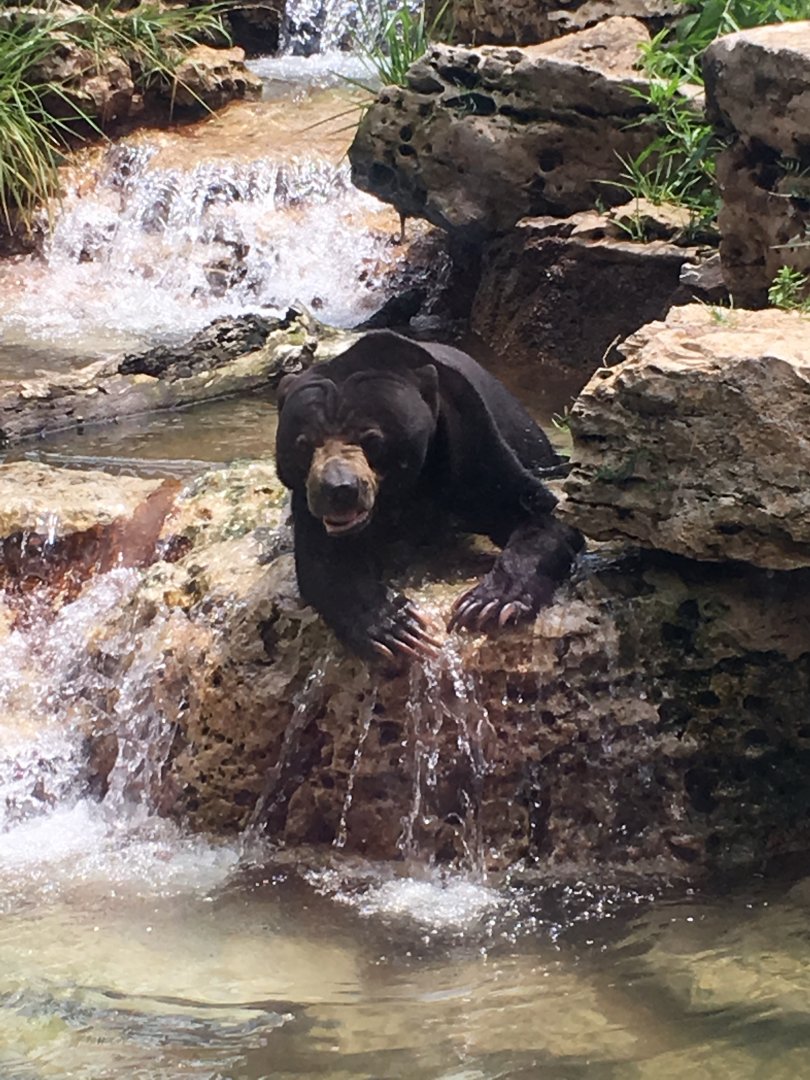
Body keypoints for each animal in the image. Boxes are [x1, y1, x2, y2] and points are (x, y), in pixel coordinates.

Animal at [275, 330, 583, 662]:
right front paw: (396, 626)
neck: (405, 490)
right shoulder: (306, 498)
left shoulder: (469, 443)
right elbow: (324, 561)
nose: (339, 489)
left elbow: (536, 512)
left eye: (371, 439)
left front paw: (487, 603)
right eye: (304, 444)